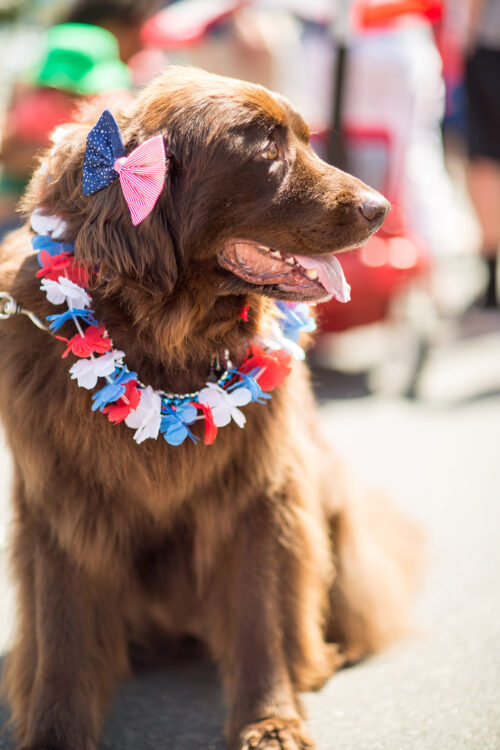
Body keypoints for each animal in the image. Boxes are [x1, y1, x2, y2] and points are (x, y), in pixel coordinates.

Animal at [0, 69, 420, 750]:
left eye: (307, 138)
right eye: (267, 150)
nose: (380, 208)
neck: (164, 342)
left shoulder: (258, 495)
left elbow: (257, 616)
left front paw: (269, 721)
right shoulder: (59, 506)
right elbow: (62, 634)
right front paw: (53, 733)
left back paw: (327, 654)